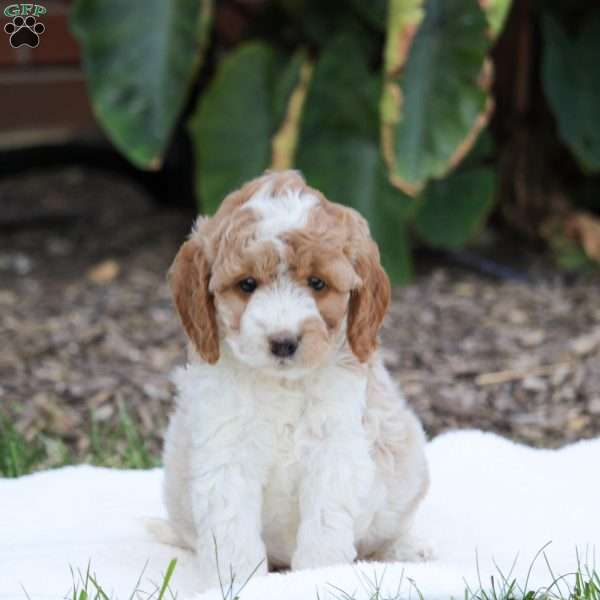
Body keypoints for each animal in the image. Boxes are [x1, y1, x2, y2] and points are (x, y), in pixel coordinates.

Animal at [158, 171, 432, 592]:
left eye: (317, 284)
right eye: (247, 284)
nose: (284, 342)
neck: (282, 385)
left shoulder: (333, 451)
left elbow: (324, 527)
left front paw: (320, 578)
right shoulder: (226, 452)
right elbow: (232, 529)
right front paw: (236, 583)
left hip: (406, 470)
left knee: (383, 532)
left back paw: (407, 550)